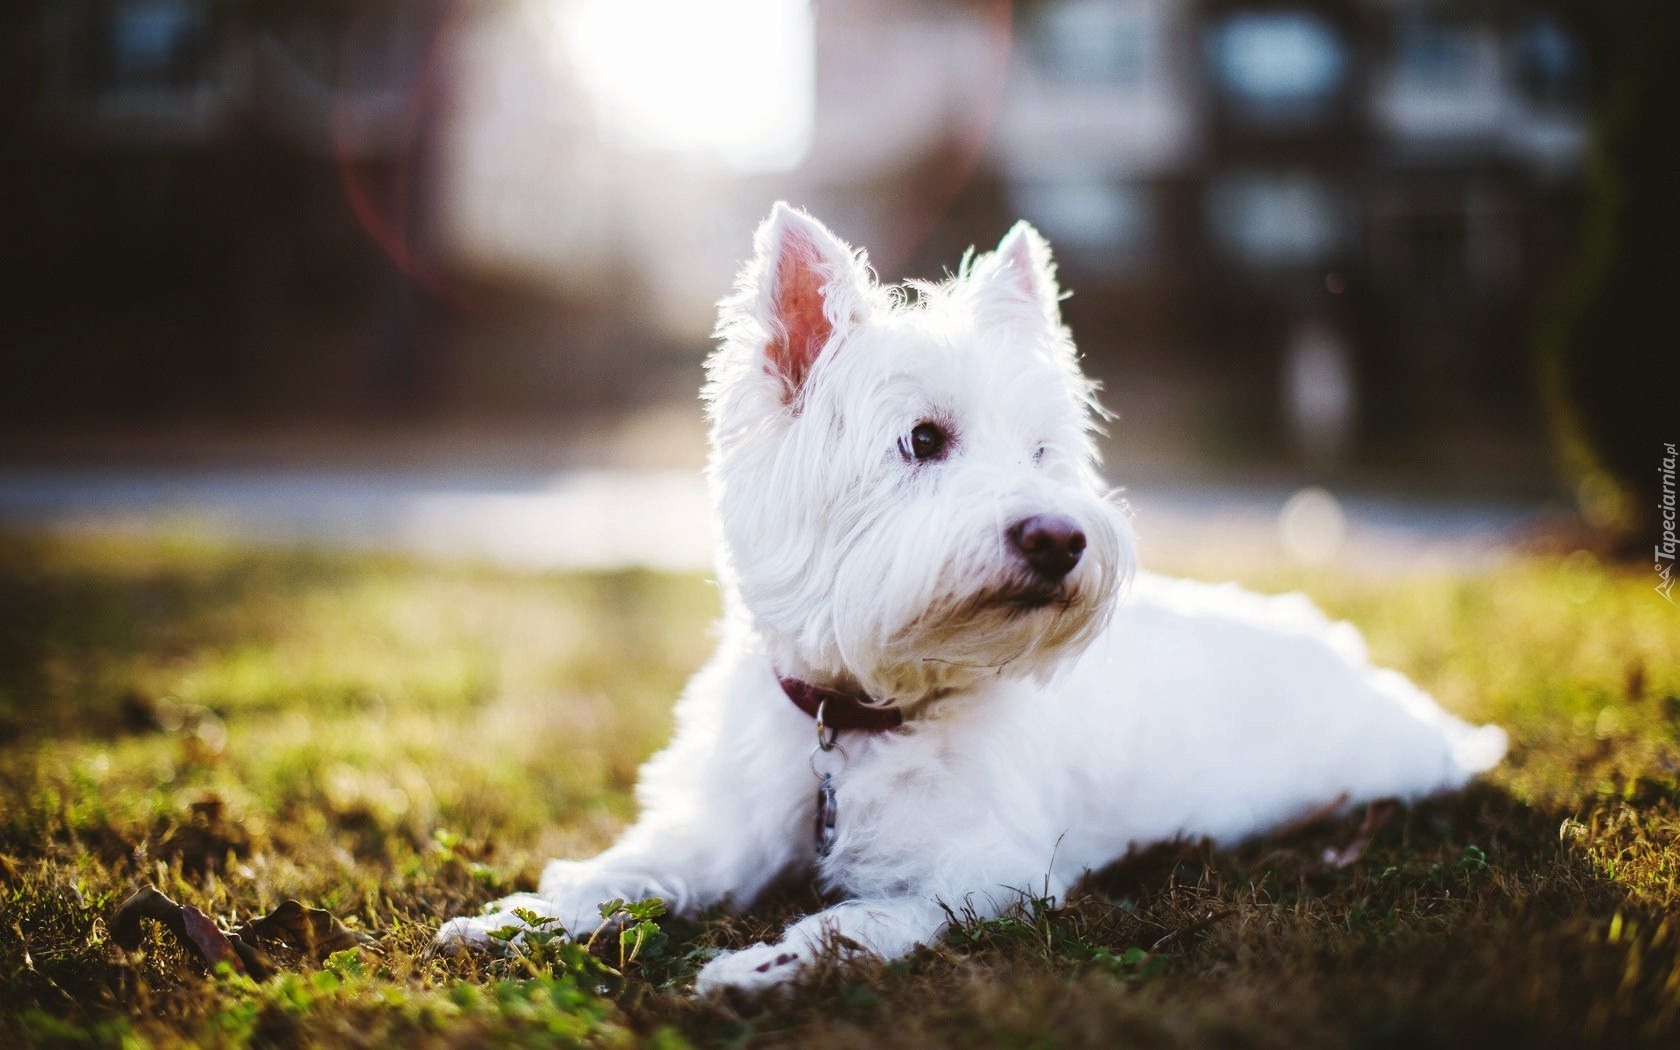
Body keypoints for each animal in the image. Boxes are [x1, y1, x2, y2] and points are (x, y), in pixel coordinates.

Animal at [436, 202, 1512, 987]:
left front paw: (760, 965)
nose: (1061, 537)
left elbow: (858, 916)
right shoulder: (721, 828)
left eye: (1042, 451)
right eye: (923, 439)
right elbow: (631, 869)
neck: (862, 718)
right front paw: (520, 917)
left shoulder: (982, 873)